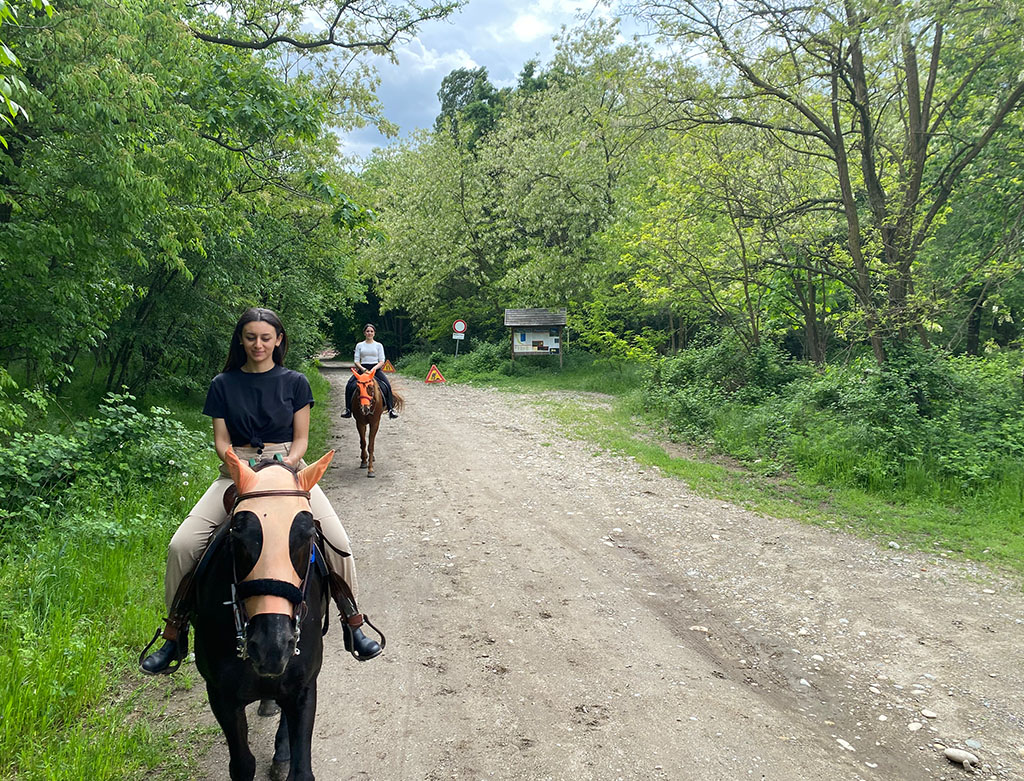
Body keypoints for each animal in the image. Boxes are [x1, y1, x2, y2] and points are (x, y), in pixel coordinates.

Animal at [190, 448, 333, 777]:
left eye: (308, 535)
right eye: (237, 535)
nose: (272, 647)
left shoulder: (304, 688)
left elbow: (301, 771)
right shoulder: (220, 695)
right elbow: (242, 765)